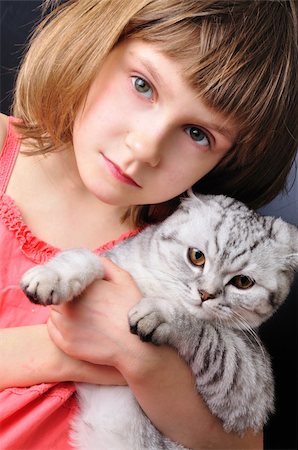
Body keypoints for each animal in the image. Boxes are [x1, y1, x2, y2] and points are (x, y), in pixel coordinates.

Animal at [21, 193, 298, 450]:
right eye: (196, 256)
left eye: (243, 282)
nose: (206, 294)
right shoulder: (113, 261)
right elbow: (86, 257)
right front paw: (52, 276)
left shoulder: (250, 382)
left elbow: (207, 331)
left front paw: (161, 312)